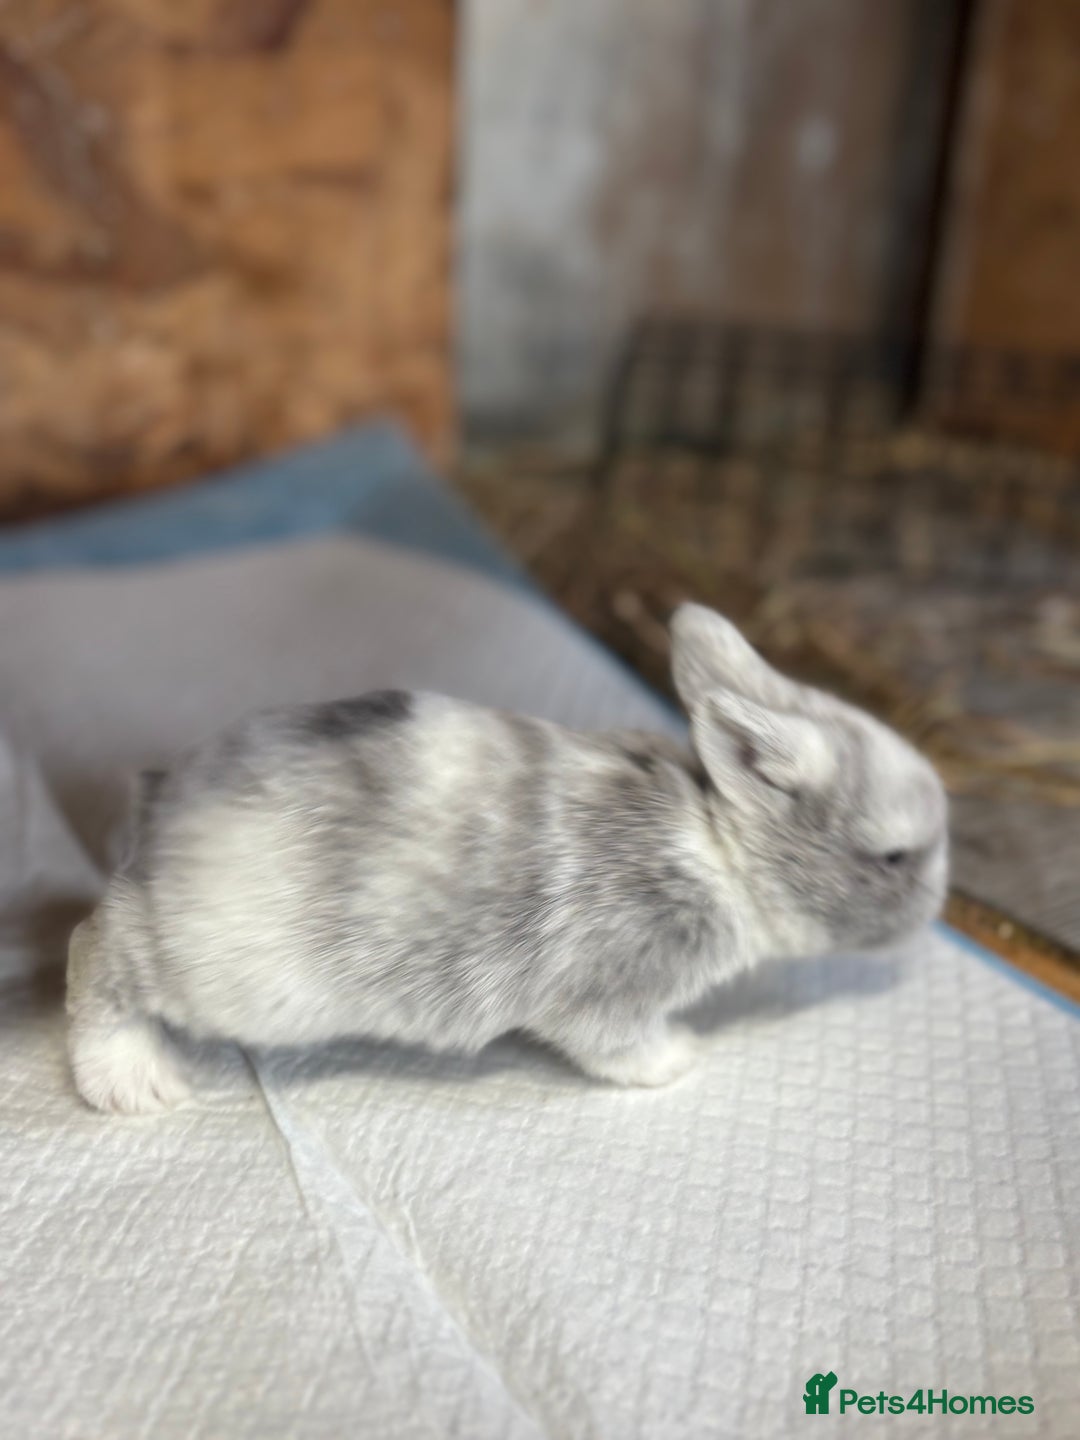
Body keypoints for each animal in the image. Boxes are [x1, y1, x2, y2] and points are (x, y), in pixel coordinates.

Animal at [66, 604, 948, 1114]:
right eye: (894, 855)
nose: (938, 907)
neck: (718, 842)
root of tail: (159, 807)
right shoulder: (612, 991)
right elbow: (616, 1045)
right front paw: (678, 1059)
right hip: (220, 970)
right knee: (95, 952)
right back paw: (133, 1081)